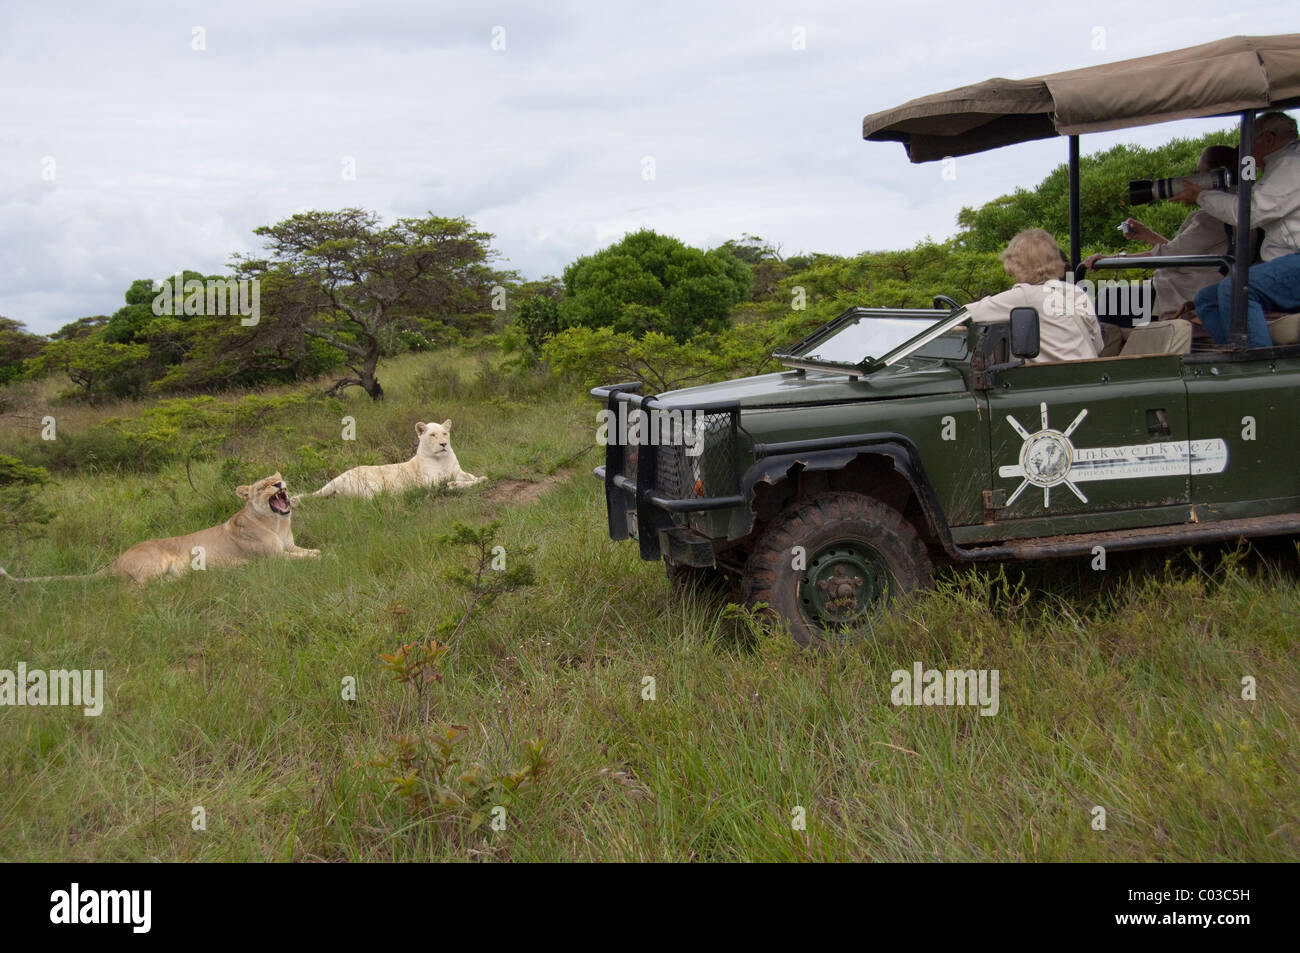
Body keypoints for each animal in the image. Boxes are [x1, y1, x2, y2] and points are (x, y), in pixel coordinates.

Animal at [1, 473, 319, 582]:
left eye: (277, 478)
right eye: (263, 485)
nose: (279, 485)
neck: (278, 522)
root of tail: (116, 559)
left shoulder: (289, 545)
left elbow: (307, 551)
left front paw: (320, 551)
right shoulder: (273, 559)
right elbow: (300, 560)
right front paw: (325, 558)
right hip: (154, 563)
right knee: (131, 590)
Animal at [295, 421, 488, 501]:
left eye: (445, 433)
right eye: (433, 435)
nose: (444, 444)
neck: (442, 459)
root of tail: (337, 478)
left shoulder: (457, 471)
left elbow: (469, 476)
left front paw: (481, 478)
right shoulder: (431, 481)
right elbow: (451, 483)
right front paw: (456, 485)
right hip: (370, 485)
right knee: (373, 498)